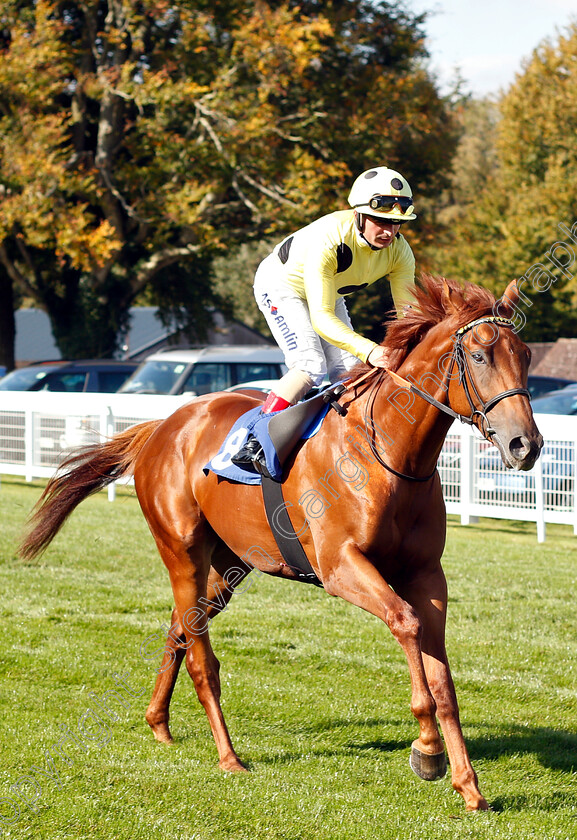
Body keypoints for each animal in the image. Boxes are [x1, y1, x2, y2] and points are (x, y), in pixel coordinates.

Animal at [18, 278, 540, 812]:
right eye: (478, 356)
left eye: (524, 355)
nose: (526, 445)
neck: (390, 453)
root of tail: (162, 427)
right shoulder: (340, 566)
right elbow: (407, 625)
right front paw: (428, 749)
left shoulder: (426, 574)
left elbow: (442, 678)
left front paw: (468, 785)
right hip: (182, 551)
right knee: (202, 658)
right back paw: (228, 756)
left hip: (226, 566)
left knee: (180, 627)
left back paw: (159, 723)